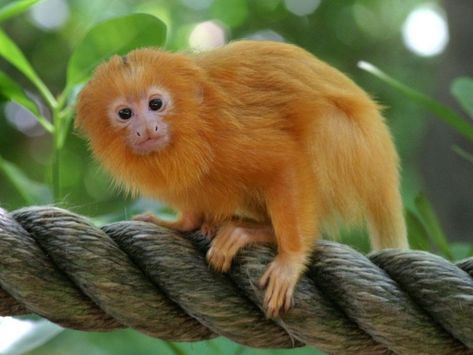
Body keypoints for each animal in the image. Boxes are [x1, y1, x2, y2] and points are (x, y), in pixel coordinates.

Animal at [75, 40, 408, 318]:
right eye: (125, 113)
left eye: (155, 104)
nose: (145, 128)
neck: (197, 121)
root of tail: (384, 170)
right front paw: (183, 223)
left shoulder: (232, 132)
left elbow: (285, 161)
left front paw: (291, 259)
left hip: (354, 154)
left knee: (323, 128)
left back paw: (252, 232)